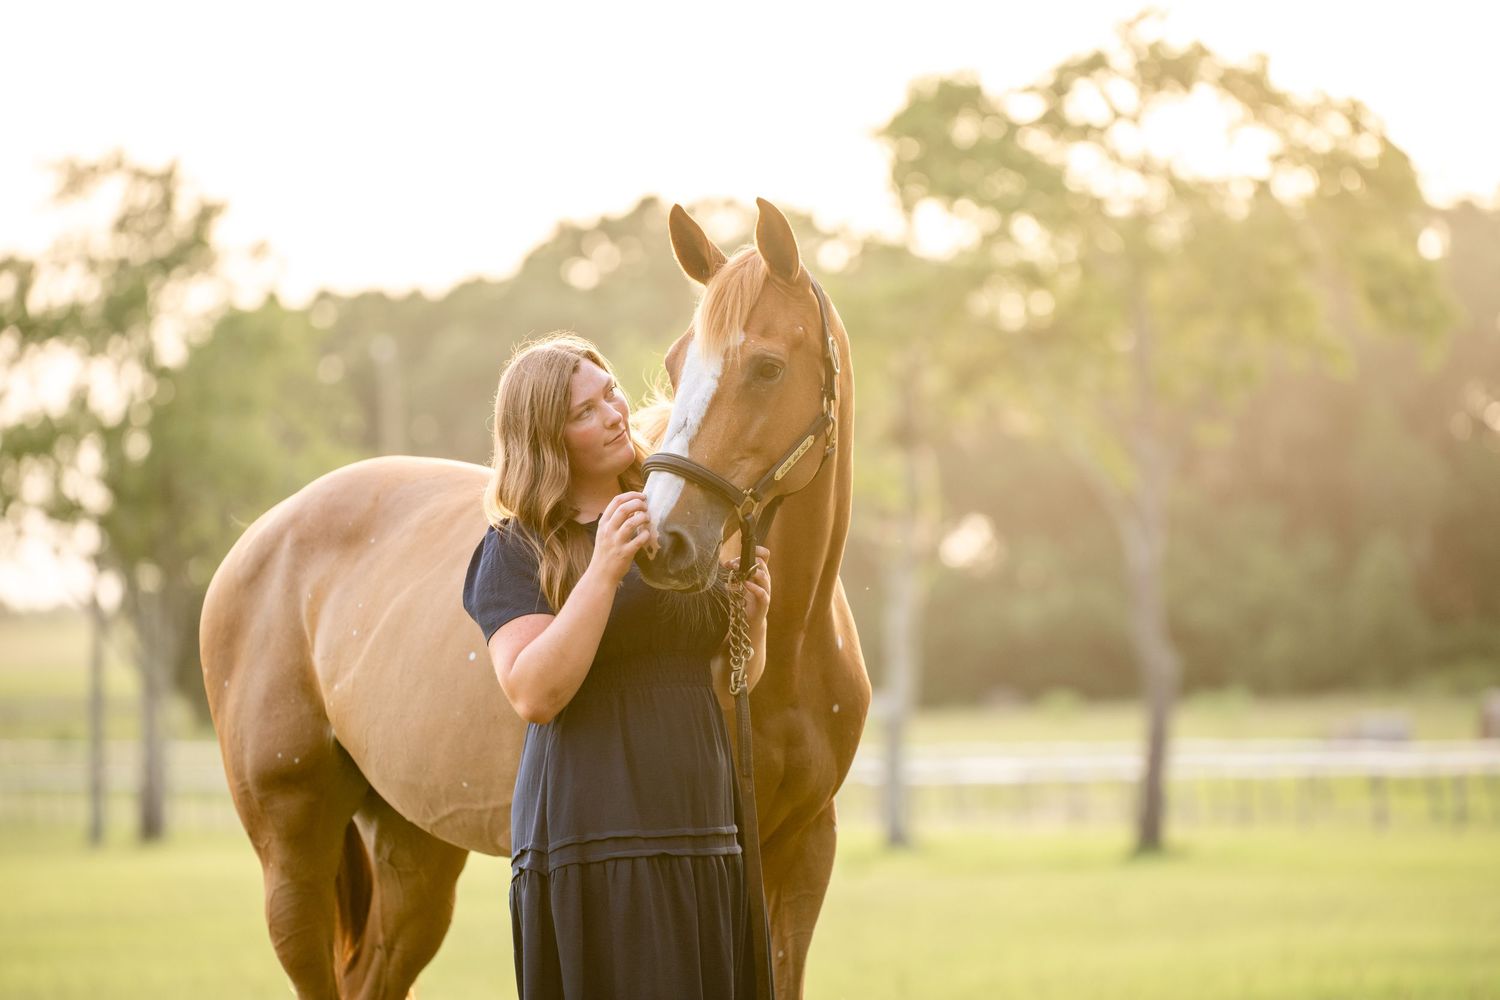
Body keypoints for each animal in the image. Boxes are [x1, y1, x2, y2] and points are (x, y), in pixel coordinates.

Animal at [199, 197, 869, 999]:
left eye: (768, 366)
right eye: (677, 364)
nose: (664, 541)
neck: (788, 653)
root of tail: (254, 542)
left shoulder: (803, 851)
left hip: (413, 847)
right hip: (293, 848)